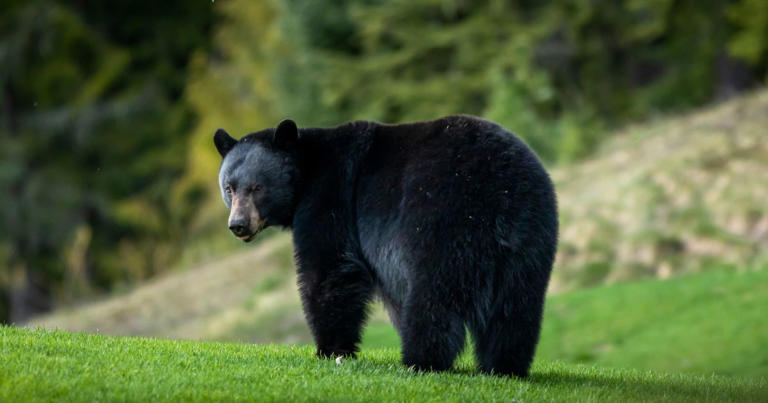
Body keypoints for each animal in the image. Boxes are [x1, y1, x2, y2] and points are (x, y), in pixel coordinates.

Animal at [214, 116, 558, 378]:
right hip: (531, 239)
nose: (238, 225)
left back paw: (422, 360)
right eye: (229, 187)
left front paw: (330, 349)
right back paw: (504, 367)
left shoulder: (331, 196)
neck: (308, 167)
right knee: (516, 310)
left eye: (257, 187)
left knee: (434, 298)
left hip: (444, 221)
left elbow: (328, 269)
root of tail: (501, 191)